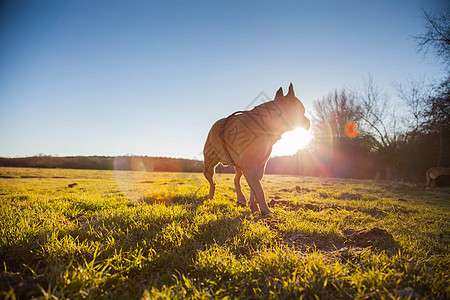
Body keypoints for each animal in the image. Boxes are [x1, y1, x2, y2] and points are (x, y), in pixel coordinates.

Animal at [203, 84, 310, 216]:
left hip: (239, 166)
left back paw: (241, 199)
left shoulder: (258, 167)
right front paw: (266, 210)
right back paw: (210, 197)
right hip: (209, 166)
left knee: (236, 180)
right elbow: (259, 189)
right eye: (302, 111)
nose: (308, 121)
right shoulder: (249, 165)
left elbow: (254, 189)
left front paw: (254, 206)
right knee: (212, 182)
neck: (265, 125)